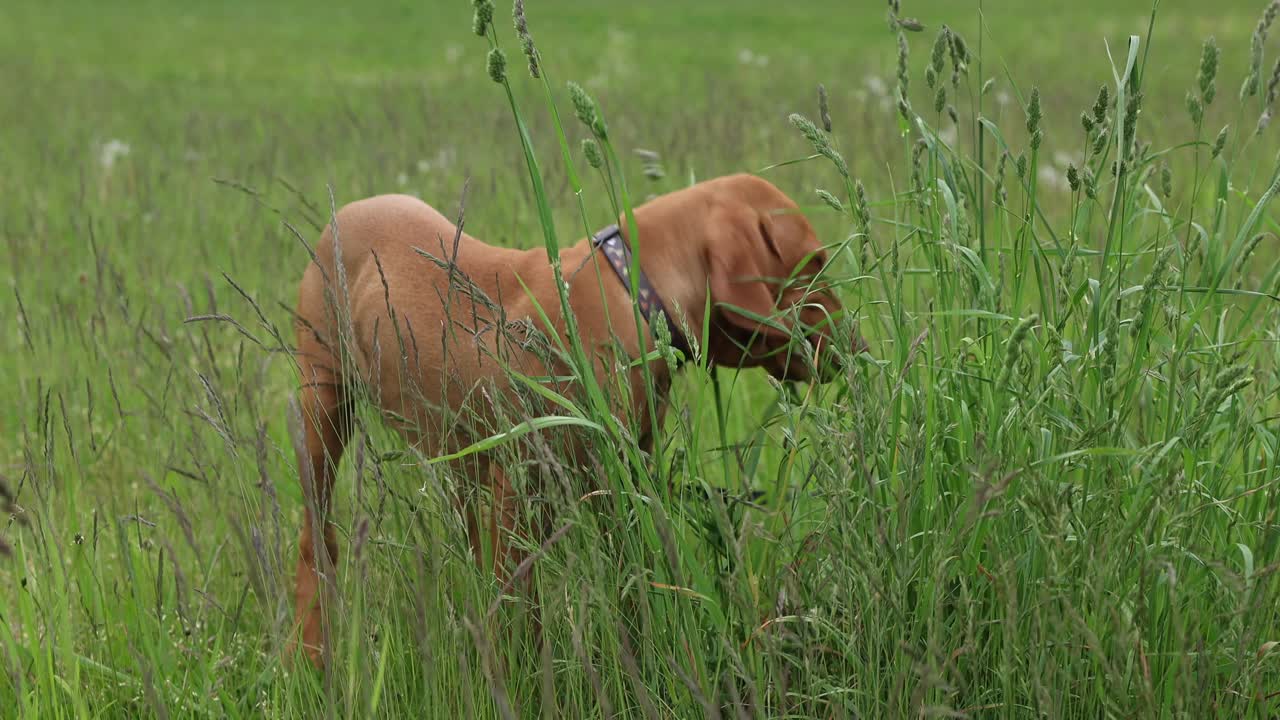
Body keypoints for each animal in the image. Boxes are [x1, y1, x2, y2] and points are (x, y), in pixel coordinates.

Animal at [285, 170, 855, 666]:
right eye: (815, 264)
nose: (860, 347)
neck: (628, 287)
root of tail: (345, 213)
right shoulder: (519, 492)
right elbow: (522, 609)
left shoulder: (619, 479)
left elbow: (632, 580)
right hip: (323, 405)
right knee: (317, 541)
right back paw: (312, 653)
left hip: (457, 453)